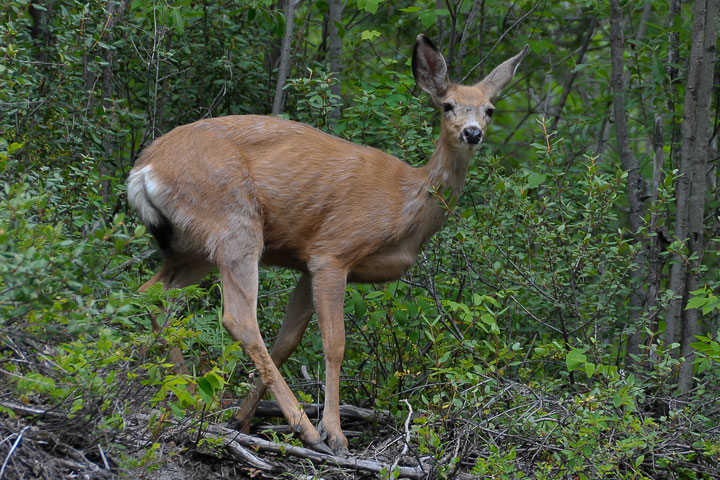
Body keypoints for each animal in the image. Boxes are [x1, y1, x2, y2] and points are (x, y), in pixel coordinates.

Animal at [126, 35, 524, 456]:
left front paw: (241, 417)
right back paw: (307, 429)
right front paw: (334, 432)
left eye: (489, 110)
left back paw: (191, 392)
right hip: (234, 223)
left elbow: (288, 341)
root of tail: (144, 170)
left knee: (150, 293)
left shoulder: (307, 262)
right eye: (448, 105)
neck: (405, 203)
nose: (472, 133)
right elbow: (334, 343)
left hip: (192, 247)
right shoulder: (334, 251)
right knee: (238, 316)